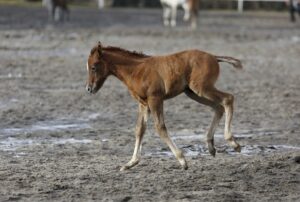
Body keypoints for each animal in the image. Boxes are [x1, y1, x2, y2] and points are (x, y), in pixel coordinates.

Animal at [85, 42, 243, 170]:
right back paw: (211, 146)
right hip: (193, 92)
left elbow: (160, 127)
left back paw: (233, 143)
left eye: (93, 67)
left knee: (228, 99)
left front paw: (182, 160)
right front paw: (131, 163)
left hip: (201, 88)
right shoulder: (143, 103)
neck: (136, 70)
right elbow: (139, 129)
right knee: (218, 107)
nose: (89, 89)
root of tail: (214, 56)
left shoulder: (155, 99)